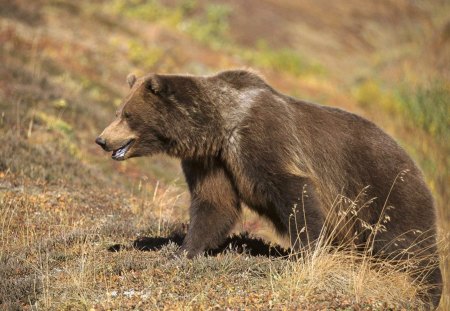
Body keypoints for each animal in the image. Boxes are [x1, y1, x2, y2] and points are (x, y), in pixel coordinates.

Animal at [96, 69, 442, 308]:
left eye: (127, 114)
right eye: (118, 112)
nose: (101, 139)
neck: (219, 126)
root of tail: (418, 165)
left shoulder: (261, 139)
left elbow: (294, 192)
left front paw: (307, 254)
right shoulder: (212, 161)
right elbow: (214, 205)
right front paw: (184, 251)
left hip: (385, 190)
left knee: (407, 245)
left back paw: (428, 293)